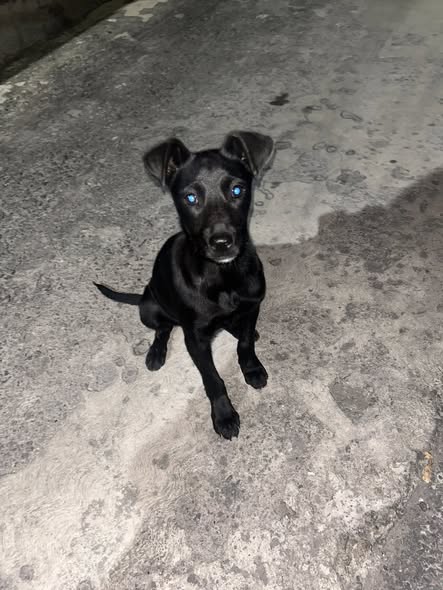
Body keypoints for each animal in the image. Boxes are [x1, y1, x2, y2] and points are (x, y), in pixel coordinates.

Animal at [95, 131, 274, 439]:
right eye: (190, 197)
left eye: (237, 191)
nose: (222, 242)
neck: (223, 274)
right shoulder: (196, 340)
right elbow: (213, 379)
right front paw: (224, 415)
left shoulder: (253, 307)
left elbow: (246, 345)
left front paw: (251, 368)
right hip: (150, 308)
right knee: (163, 329)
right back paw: (156, 352)